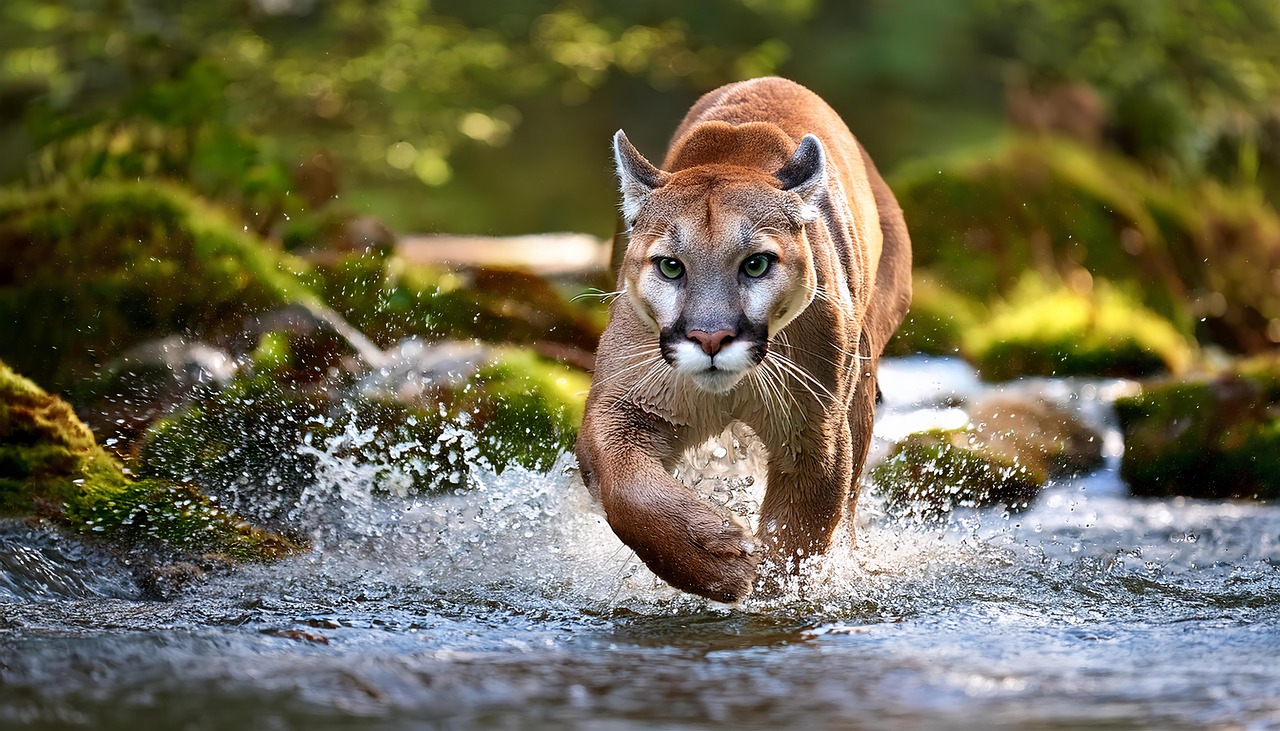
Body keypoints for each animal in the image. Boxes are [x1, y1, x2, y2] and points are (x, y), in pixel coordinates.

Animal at [575, 77, 912, 602]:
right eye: (670, 266)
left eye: (756, 264)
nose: (711, 337)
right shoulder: (622, 407)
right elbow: (626, 490)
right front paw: (720, 562)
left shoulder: (816, 431)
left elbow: (798, 534)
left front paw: (771, 587)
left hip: (860, 376)